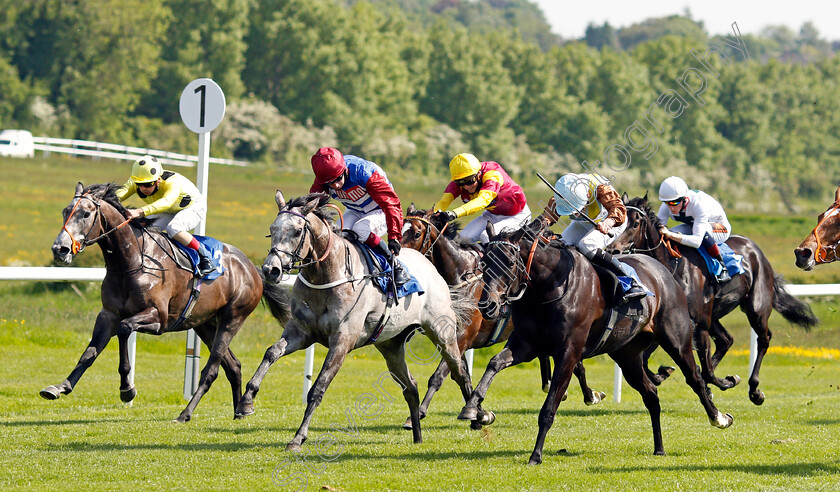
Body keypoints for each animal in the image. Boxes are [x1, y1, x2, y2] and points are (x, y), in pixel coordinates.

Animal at [45, 183, 292, 420]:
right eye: (65, 211)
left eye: (86, 214)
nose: (60, 249)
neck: (132, 261)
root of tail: (253, 269)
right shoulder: (108, 315)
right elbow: (90, 352)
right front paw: (60, 386)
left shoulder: (158, 318)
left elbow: (124, 329)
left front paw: (127, 390)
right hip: (205, 324)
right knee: (233, 366)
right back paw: (240, 410)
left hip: (232, 319)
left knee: (212, 370)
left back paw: (186, 413)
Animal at [236, 191, 482, 450]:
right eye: (272, 229)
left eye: (296, 231)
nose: (270, 270)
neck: (327, 274)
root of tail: (431, 267)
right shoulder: (301, 332)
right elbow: (271, 353)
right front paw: (246, 401)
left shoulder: (342, 340)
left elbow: (318, 388)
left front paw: (298, 437)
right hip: (390, 345)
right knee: (411, 387)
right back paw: (417, 435)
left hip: (442, 333)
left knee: (459, 372)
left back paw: (476, 415)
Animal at [400, 206, 604, 428]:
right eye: (398, 230)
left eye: (417, 233)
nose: (399, 260)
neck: (459, 276)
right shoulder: (454, 337)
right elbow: (462, 375)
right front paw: (480, 415)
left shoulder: (463, 336)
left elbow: (441, 375)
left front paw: (419, 414)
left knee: (576, 364)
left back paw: (590, 395)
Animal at [456, 221, 732, 464]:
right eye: (484, 263)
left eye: (511, 262)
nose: (487, 305)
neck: (549, 287)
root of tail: (662, 271)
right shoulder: (526, 345)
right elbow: (494, 363)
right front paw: (473, 408)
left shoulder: (568, 353)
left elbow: (549, 408)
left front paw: (536, 455)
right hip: (627, 354)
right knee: (651, 394)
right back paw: (659, 448)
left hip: (676, 340)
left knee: (695, 379)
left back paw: (719, 417)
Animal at [612, 194, 816, 406]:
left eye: (635, 223)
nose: (613, 249)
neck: (672, 267)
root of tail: (756, 250)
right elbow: (646, 358)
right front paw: (663, 373)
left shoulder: (698, 323)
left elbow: (706, 368)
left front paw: (725, 381)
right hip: (715, 315)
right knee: (726, 340)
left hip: (756, 308)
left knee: (763, 339)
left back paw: (754, 390)